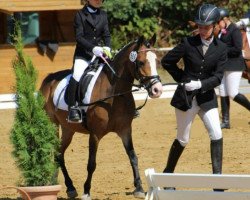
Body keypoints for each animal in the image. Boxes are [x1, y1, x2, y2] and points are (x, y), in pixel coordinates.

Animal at [39, 33, 163, 199]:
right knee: (58, 153)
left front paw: (139, 188)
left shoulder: (125, 130)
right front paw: (86, 191)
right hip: (53, 124)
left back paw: (66, 186)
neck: (114, 94)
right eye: (141, 62)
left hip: (68, 129)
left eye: (156, 61)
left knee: (59, 153)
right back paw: (69, 187)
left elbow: (133, 157)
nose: (157, 90)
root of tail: (49, 80)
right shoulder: (95, 134)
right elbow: (91, 164)